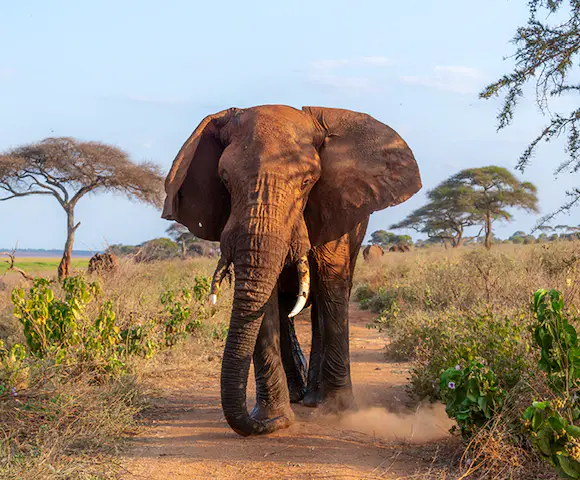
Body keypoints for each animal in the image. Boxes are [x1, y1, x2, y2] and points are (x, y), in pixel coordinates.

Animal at [160, 106, 422, 438]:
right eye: (225, 180)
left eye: (308, 181)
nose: (264, 426)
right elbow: (265, 299)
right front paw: (275, 418)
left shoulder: (336, 205)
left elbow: (332, 284)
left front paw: (338, 412)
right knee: (287, 308)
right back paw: (298, 396)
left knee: (325, 300)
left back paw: (314, 400)